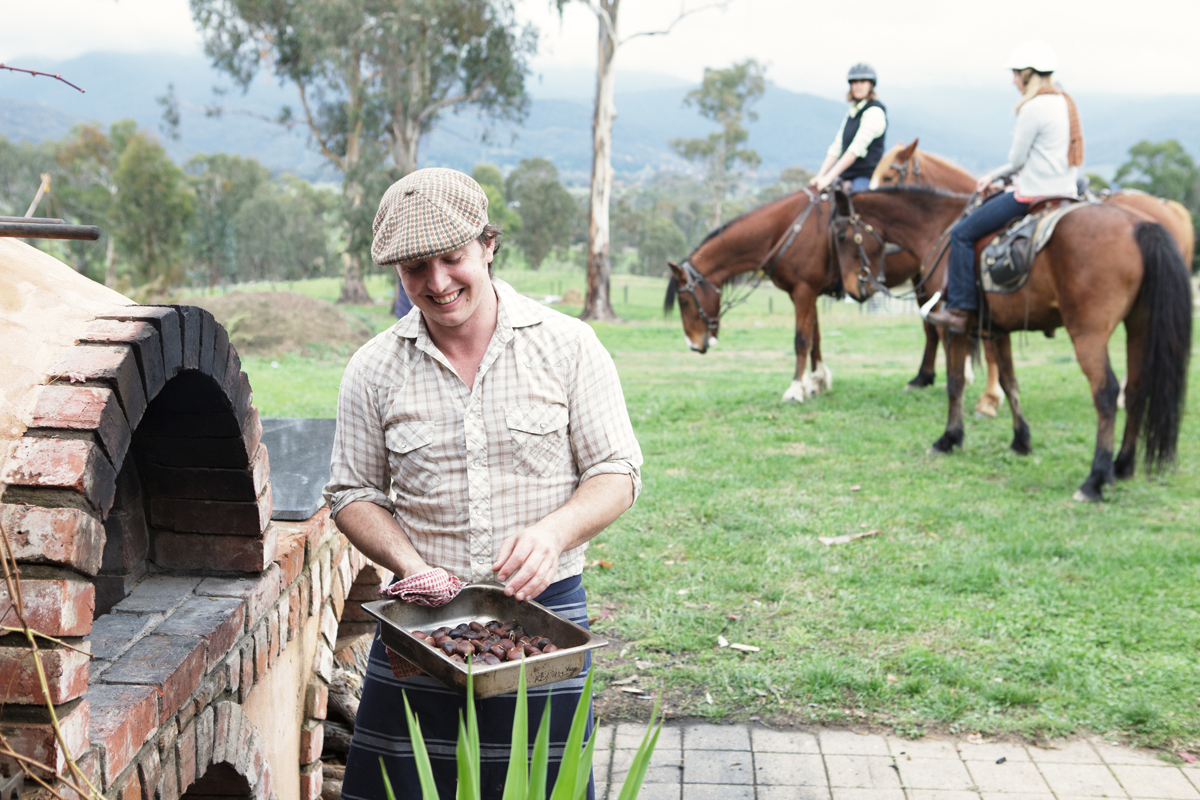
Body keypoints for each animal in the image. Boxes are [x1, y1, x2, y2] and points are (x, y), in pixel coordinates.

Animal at [835, 185, 1190, 501]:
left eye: (840, 236)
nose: (854, 289)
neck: (941, 229)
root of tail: (1138, 226)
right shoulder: (998, 331)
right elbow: (1009, 381)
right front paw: (1021, 441)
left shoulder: (955, 330)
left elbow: (955, 382)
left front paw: (949, 438)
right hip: (1139, 327)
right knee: (1135, 391)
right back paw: (1123, 465)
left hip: (1088, 334)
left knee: (1106, 394)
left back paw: (1095, 480)